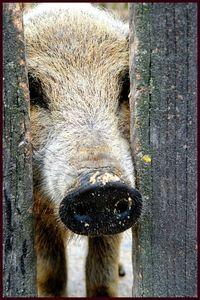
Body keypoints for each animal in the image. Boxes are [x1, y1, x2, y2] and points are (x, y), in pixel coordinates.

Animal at [23, 2, 142, 298]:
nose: (101, 186)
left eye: (126, 86)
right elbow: (51, 274)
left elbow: (102, 275)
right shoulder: (36, 211)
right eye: (32, 90)